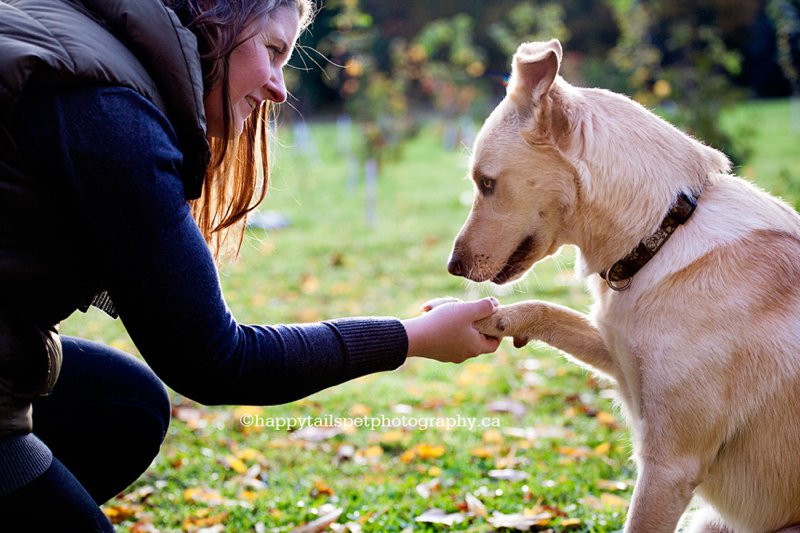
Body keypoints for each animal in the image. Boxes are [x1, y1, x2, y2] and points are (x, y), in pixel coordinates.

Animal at [446, 39, 800, 528]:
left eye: (486, 183)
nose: (452, 266)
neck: (663, 233)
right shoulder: (618, 358)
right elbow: (548, 311)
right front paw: (491, 319)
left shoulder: (669, 465)